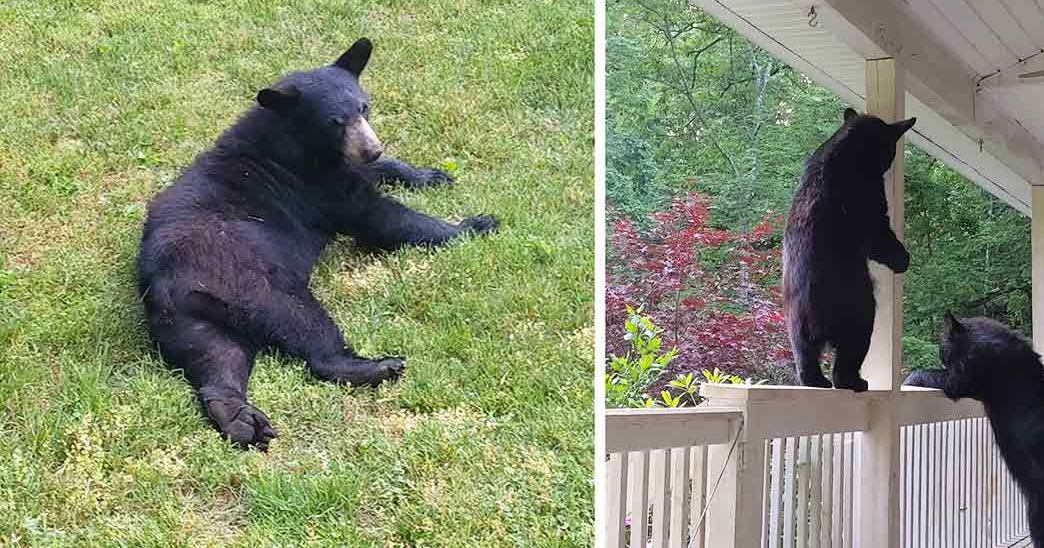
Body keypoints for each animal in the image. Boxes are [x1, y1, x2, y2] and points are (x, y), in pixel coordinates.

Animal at [137, 38, 497, 451]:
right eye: (334, 122)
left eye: (364, 107)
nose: (371, 148)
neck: (290, 140)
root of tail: (164, 284)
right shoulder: (317, 187)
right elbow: (379, 217)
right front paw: (475, 224)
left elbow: (377, 173)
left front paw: (430, 175)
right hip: (252, 283)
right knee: (303, 325)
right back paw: (378, 366)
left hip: (190, 319)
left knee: (217, 356)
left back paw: (240, 419)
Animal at [782, 108, 915, 391]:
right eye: (890, 148)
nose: (889, 161)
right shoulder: (872, 208)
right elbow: (880, 238)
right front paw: (903, 259)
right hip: (861, 314)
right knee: (848, 356)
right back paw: (853, 382)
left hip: (796, 325)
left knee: (805, 355)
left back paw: (815, 381)